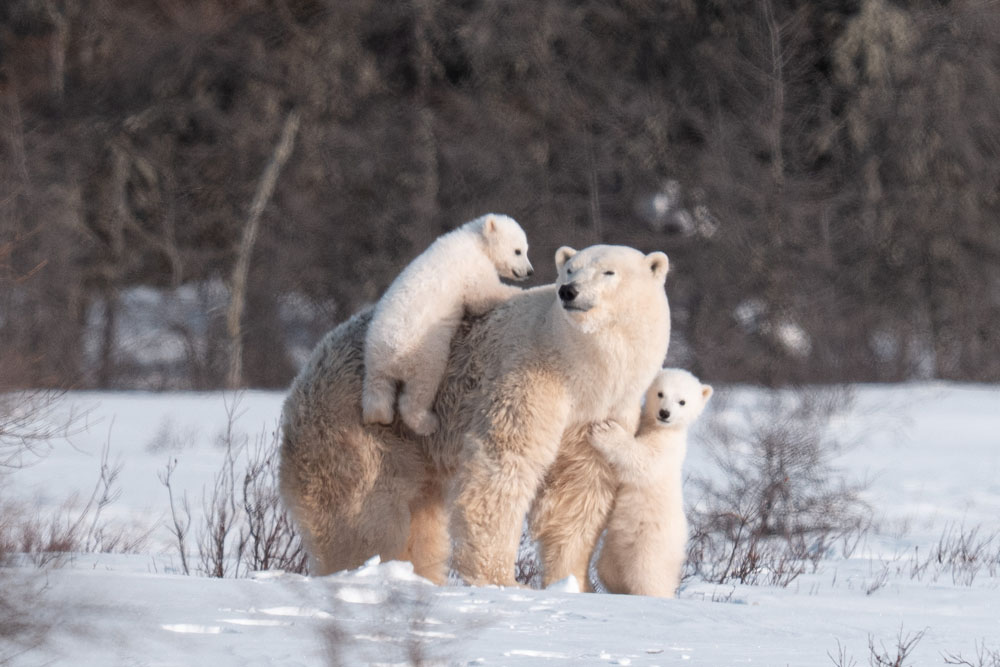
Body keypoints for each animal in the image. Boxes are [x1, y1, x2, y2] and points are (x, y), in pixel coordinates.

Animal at [280, 243, 672, 588]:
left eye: (609, 272)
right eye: (570, 269)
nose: (569, 291)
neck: (579, 366)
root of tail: (306, 370)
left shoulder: (604, 409)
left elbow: (579, 489)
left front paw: (572, 581)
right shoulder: (529, 376)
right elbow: (503, 465)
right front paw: (502, 580)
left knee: (420, 516)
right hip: (359, 422)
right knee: (363, 511)